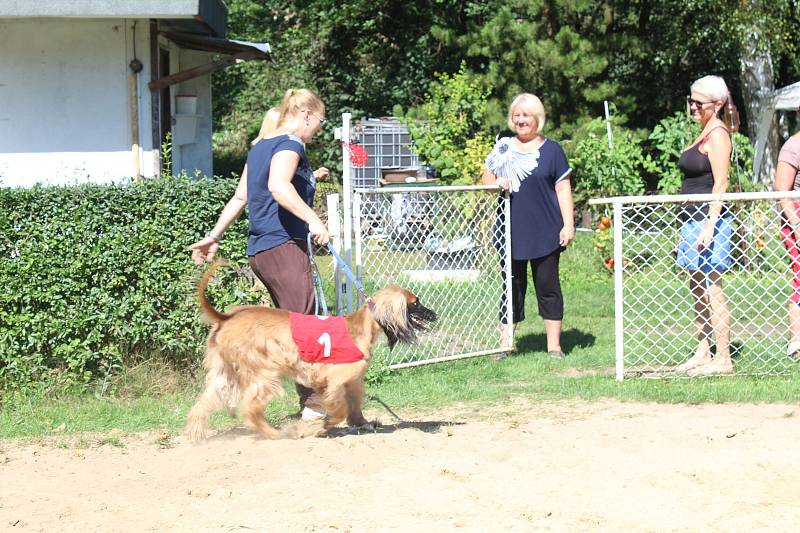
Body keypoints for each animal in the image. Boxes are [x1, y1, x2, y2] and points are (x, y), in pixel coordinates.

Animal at [186, 262, 438, 440]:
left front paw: (363, 423)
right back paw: (276, 433)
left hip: (226, 371)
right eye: (415, 303)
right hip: (263, 372)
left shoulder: (352, 380)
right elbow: (339, 409)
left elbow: (355, 405)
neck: (361, 327)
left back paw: (196, 434)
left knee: (207, 399)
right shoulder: (334, 379)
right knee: (250, 409)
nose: (435, 314)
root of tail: (226, 317)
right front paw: (323, 426)